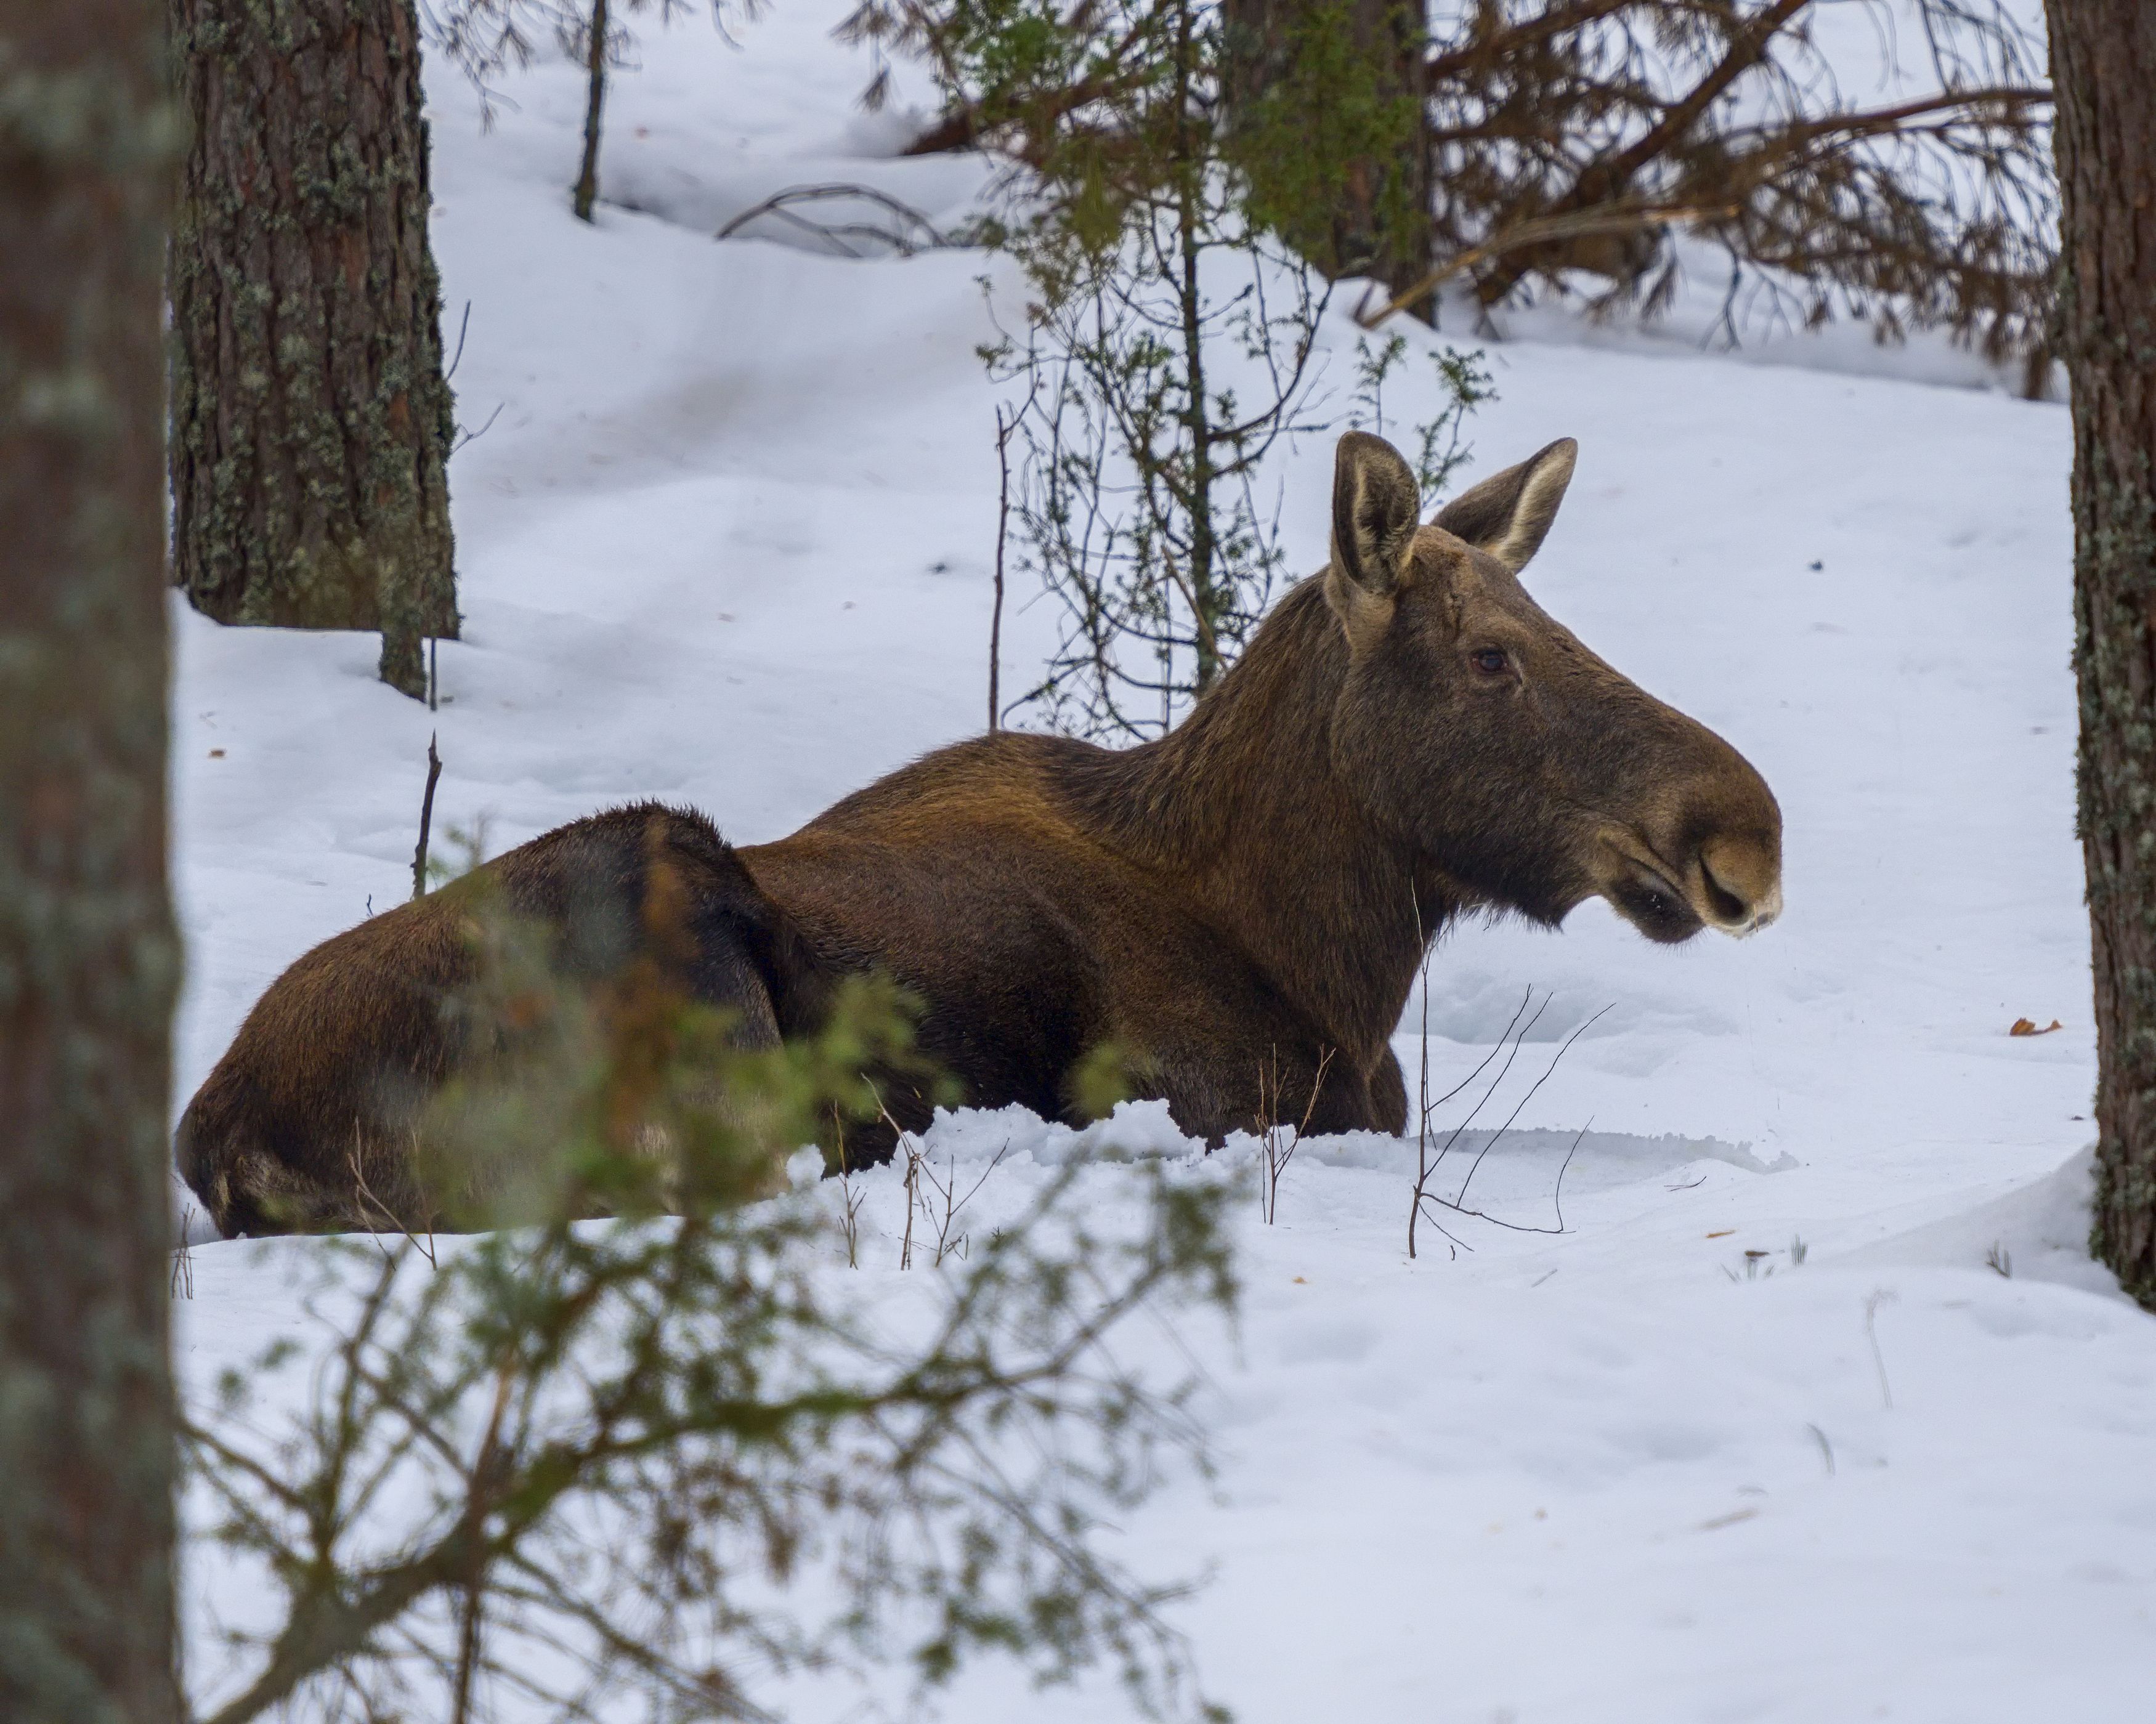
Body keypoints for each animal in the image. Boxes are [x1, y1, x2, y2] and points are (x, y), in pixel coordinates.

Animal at [177, 431, 1777, 1241]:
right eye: (1494, 655)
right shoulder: (1203, 1097)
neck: (1324, 953)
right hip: (675, 947)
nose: (1742, 831)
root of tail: (217, 1130)